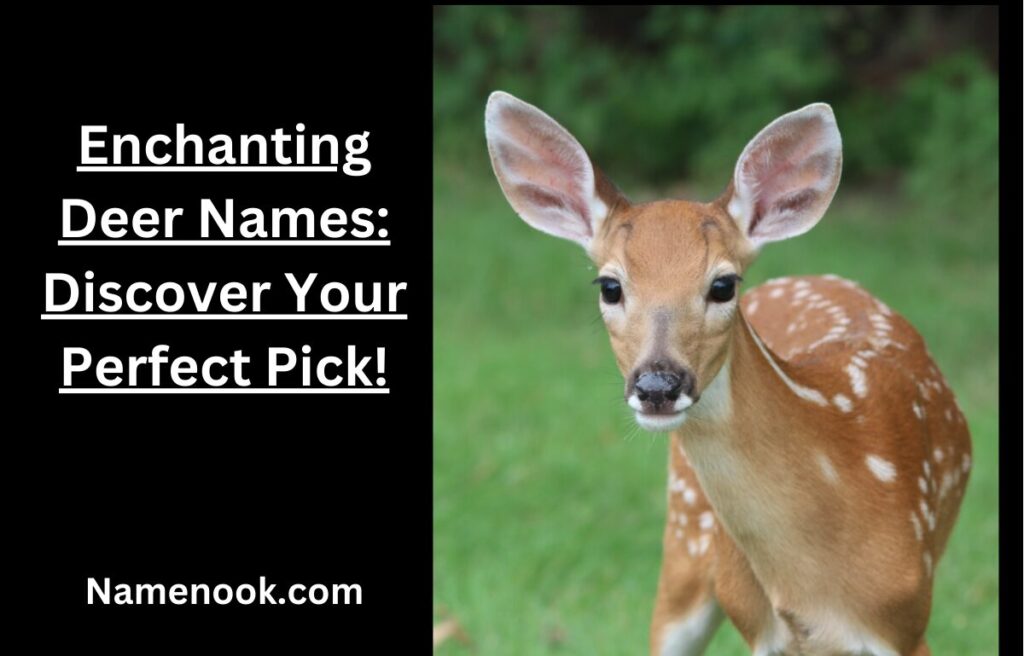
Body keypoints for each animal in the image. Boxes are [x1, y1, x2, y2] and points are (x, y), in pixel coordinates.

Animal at [484, 91, 971, 656]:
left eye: (723, 285)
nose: (657, 385)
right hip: (685, 540)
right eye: (609, 286)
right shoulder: (760, 628)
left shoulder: (906, 621)